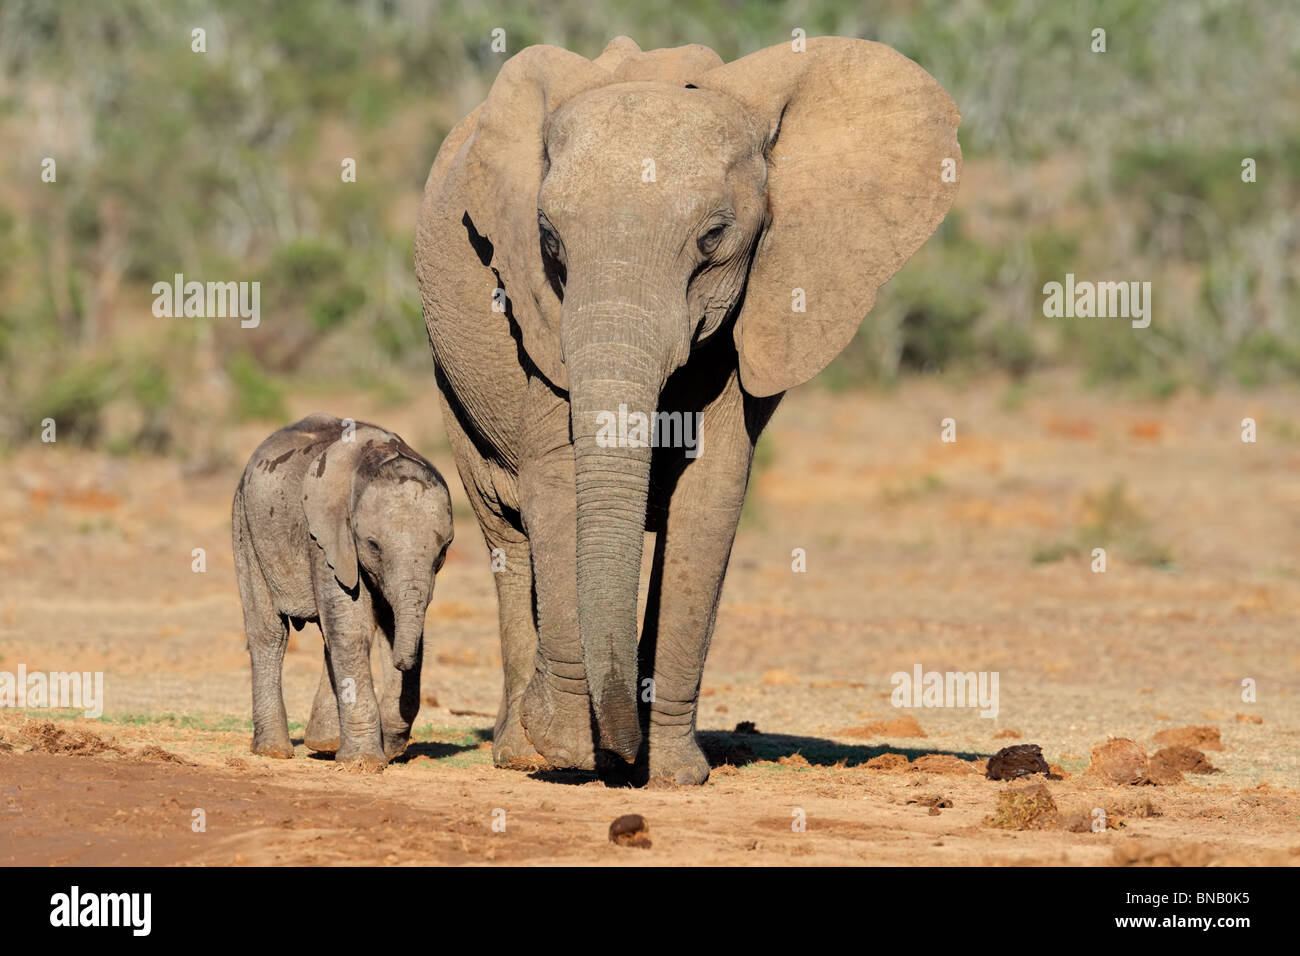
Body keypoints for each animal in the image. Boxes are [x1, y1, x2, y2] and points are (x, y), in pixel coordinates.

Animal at [231, 416, 454, 775]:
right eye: (374, 546)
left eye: (443, 551)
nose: (400, 662)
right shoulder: (325, 537)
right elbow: (354, 630)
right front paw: (364, 763)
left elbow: (382, 627)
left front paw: (386, 747)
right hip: (245, 525)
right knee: (270, 634)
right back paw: (274, 752)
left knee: (327, 634)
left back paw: (324, 744)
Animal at [418, 35, 967, 785]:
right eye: (548, 238)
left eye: (712, 238)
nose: (619, 754)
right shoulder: (538, 312)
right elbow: (556, 474)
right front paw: (568, 752)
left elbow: (710, 495)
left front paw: (670, 772)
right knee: (507, 528)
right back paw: (519, 753)